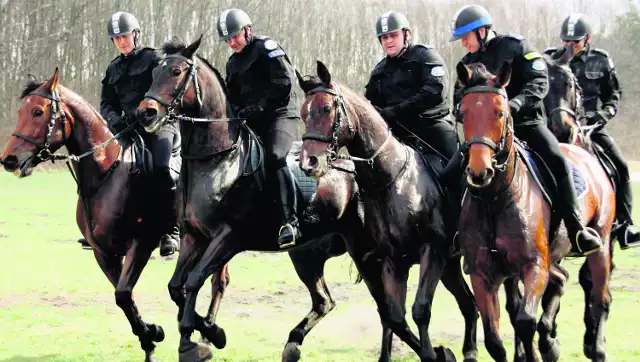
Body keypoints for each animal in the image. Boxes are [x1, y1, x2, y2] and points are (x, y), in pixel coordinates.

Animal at [0, 68, 229, 362]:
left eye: (38, 111)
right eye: (21, 111)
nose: (9, 160)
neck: (106, 175)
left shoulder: (140, 245)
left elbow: (123, 293)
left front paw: (156, 334)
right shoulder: (104, 253)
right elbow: (124, 298)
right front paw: (150, 339)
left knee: (218, 282)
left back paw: (208, 334)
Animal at [136, 36, 370, 362]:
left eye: (176, 71)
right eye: (154, 71)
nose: (146, 113)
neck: (217, 159)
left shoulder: (228, 238)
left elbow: (194, 281)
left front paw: (196, 341)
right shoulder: (193, 237)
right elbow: (176, 287)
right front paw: (207, 333)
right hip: (307, 254)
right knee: (324, 301)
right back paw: (293, 343)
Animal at [298, 61, 478, 362]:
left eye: (326, 109)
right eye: (302, 113)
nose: (309, 162)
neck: (391, 178)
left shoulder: (432, 251)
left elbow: (420, 310)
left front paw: (433, 354)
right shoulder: (394, 261)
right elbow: (394, 316)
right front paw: (437, 352)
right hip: (450, 266)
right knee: (469, 304)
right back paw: (470, 351)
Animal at [456, 60, 616, 360]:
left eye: (500, 113)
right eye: (463, 114)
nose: (479, 172)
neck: (495, 198)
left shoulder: (534, 265)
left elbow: (525, 321)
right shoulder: (483, 274)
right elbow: (494, 339)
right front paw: (542, 344)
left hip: (599, 246)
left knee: (600, 298)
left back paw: (597, 348)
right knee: (562, 280)